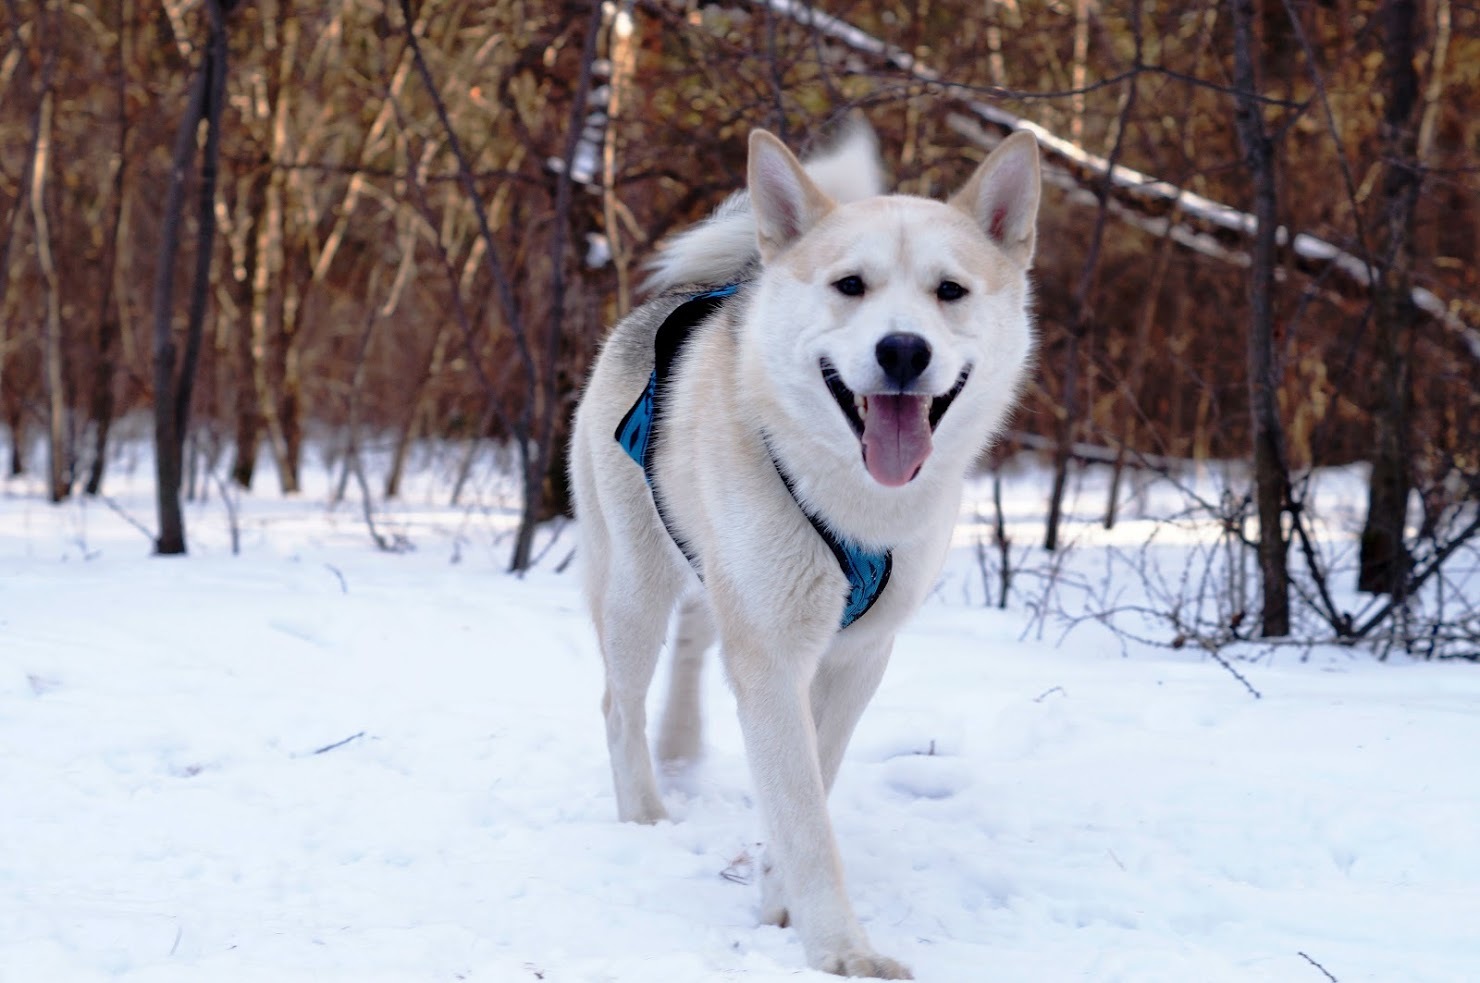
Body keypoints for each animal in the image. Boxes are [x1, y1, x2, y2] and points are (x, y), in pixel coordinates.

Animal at [565, 119, 1041, 977]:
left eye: (949, 291)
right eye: (850, 285)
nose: (903, 351)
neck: (856, 503)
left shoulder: (857, 658)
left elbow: (813, 779)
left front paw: (775, 895)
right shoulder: (774, 656)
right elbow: (805, 811)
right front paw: (839, 947)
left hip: (710, 576)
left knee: (692, 647)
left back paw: (681, 747)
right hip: (636, 589)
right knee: (619, 703)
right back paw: (646, 811)